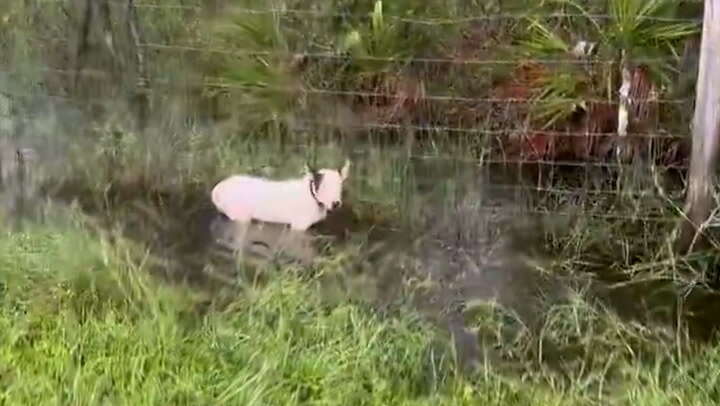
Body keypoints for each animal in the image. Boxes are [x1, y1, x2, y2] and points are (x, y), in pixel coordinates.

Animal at [211, 160, 352, 233]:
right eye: (323, 186)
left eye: (340, 185)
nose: (336, 203)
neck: (311, 196)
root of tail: (218, 189)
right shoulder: (298, 227)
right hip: (240, 214)